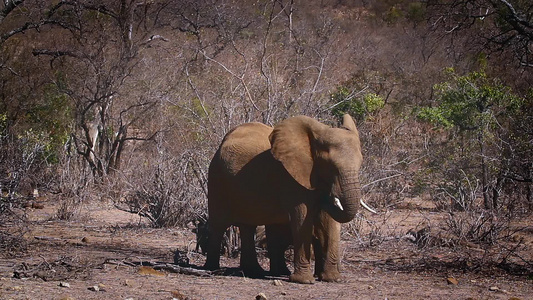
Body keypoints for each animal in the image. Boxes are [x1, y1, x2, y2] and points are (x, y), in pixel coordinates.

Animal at [204, 114, 362, 284]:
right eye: (330, 165)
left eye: (361, 163)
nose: (323, 199)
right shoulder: (290, 179)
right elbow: (302, 218)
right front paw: (303, 281)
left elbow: (329, 221)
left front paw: (332, 279)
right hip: (216, 179)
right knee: (219, 225)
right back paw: (212, 270)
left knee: (248, 226)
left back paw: (256, 271)